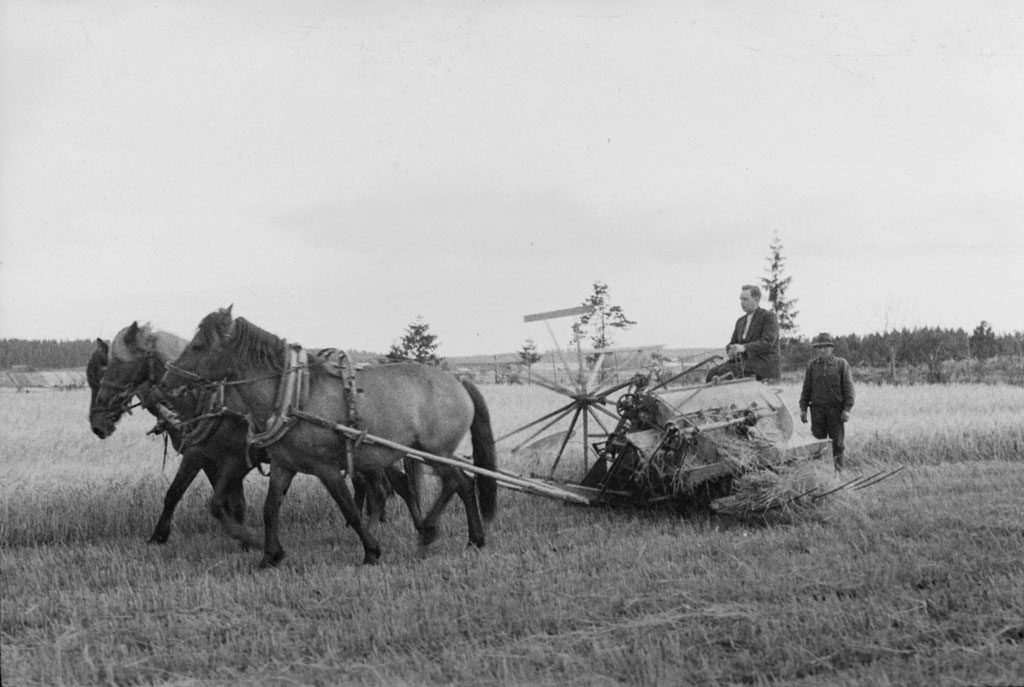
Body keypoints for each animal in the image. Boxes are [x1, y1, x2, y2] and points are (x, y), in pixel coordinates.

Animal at [89, 321, 264, 548]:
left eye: (111, 367)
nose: (96, 425)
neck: (198, 399)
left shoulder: (200, 455)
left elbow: (174, 492)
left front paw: (158, 535)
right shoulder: (212, 459)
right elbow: (230, 498)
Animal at [163, 309, 499, 565]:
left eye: (198, 346)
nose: (167, 380)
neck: (294, 395)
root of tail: (458, 381)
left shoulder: (324, 468)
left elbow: (349, 508)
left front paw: (371, 551)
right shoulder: (284, 465)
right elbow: (270, 509)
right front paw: (270, 555)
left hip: (436, 451)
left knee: (455, 483)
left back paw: (432, 530)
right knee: (462, 484)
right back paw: (471, 538)